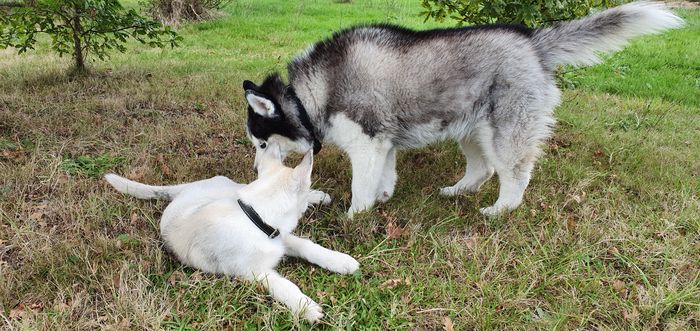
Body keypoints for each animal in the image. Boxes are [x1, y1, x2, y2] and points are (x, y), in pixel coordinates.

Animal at [104, 146, 360, 324]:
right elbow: (283, 285)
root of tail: (186, 188)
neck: (252, 215)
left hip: (234, 186)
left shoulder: (278, 235)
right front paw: (304, 306)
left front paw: (340, 261)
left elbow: (308, 246)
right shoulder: (254, 271)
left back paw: (320, 196)